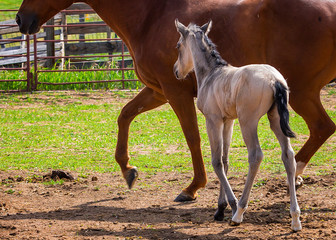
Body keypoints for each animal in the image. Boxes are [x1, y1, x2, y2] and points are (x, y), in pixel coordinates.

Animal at [17, 0, 336, 202]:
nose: (20, 19)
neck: (149, 15)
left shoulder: (176, 92)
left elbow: (192, 137)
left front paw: (193, 187)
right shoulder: (158, 90)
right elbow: (125, 115)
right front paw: (128, 170)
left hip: (302, 93)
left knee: (322, 127)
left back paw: (296, 174)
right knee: (322, 129)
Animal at [173, 20, 302, 231]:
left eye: (178, 46)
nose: (176, 70)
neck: (211, 74)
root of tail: (274, 79)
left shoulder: (213, 120)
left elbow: (216, 161)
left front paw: (231, 206)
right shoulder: (228, 121)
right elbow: (225, 161)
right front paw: (220, 209)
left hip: (248, 121)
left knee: (255, 155)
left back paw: (239, 212)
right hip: (275, 119)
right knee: (288, 156)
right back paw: (295, 218)